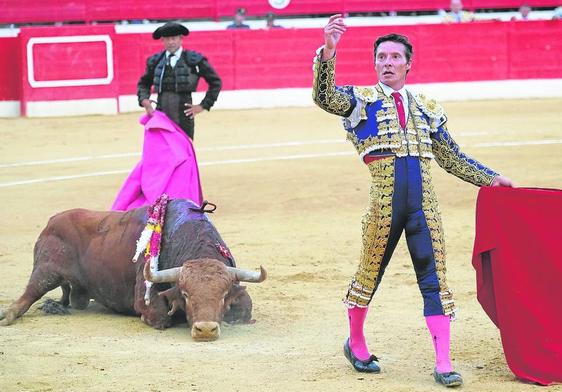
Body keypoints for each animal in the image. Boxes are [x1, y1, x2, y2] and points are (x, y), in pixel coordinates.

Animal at [0, 199, 266, 340]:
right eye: (186, 295)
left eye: (223, 296)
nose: (206, 330)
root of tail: (51, 222)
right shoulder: (146, 301)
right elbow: (161, 317)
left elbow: (245, 308)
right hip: (46, 272)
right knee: (29, 294)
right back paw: (8, 315)